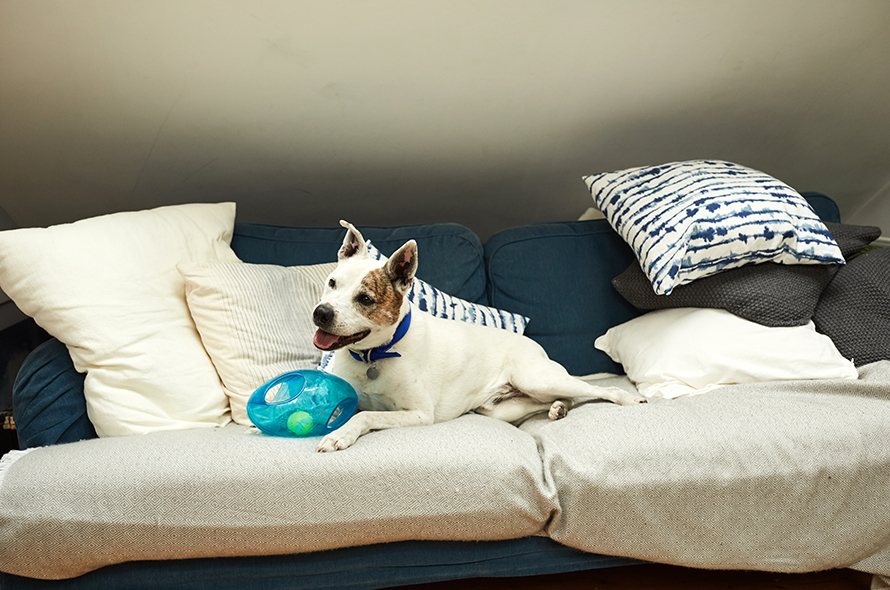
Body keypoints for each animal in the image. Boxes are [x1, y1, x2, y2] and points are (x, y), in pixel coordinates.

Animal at [308, 222, 640, 454]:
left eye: (365, 299)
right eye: (332, 282)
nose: (321, 313)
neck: (373, 355)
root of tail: (535, 347)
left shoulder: (419, 414)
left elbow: (366, 416)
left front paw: (339, 435)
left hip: (536, 378)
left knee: (596, 388)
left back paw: (627, 398)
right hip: (504, 408)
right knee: (560, 398)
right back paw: (558, 408)